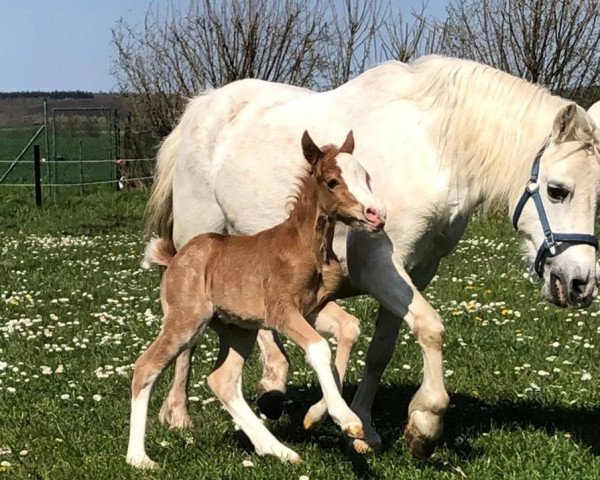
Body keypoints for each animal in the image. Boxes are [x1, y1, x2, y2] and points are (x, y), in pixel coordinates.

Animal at [127, 131, 386, 468]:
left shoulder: (314, 308)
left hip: (238, 329)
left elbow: (350, 328)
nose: (376, 215)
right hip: (187, 319)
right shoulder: (281, 310)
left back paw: (277, 449)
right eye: (332, 181)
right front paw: (347, 419)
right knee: (146, 367)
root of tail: (174, 259)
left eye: (366, 176)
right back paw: (138, 458)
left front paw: (316, 415)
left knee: (222, 380)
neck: (307, 246)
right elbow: (318, 348)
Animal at [146, 55, 600, 458]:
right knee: (187, 340)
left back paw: (273, 385)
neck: (432, 148)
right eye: (557, 190)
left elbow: (382, 349)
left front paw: (364, 427)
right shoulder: (380, 267)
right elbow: (430, 328)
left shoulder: (418, 271)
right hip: (200, 242)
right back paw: (178, 413)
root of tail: (200, 108)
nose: (580, 284)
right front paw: (424, 424)